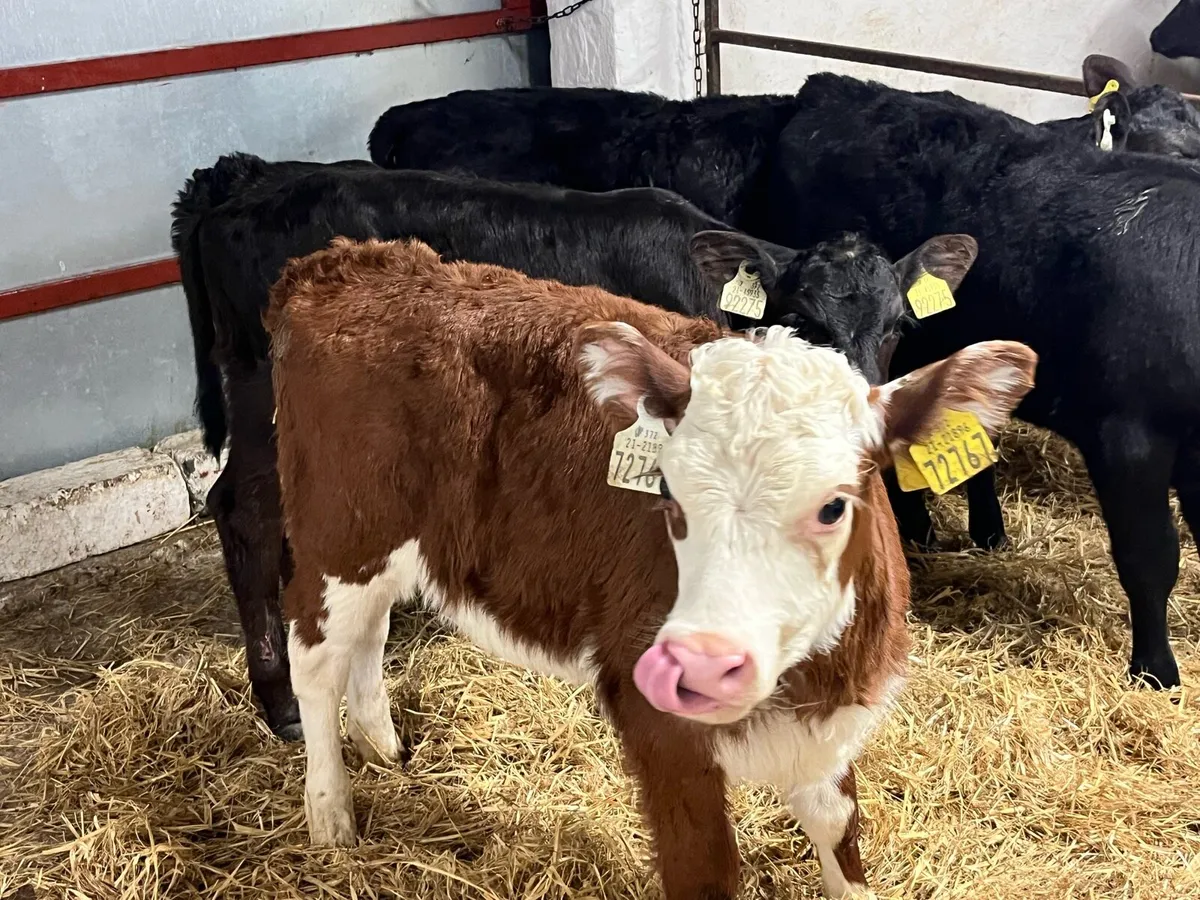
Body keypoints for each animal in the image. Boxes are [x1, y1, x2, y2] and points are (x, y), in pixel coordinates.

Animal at [173, 153, 973, 740]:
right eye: (804, 320)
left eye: (899, 325)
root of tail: (244, 182)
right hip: (265, 397)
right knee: (243, 511)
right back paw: (280, 701)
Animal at [266, 236, 1037, 900]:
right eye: (667, 491)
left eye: (834, 505)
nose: (702, 663)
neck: (807, 677)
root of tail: (340, 262)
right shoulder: (659, 726)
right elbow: (703, 869)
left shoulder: (834, 721)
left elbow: (837, 828)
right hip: (340, 530)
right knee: (315, 655)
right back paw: (331, 817)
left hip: (390, 544)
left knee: (369, 633)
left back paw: (382, 745)